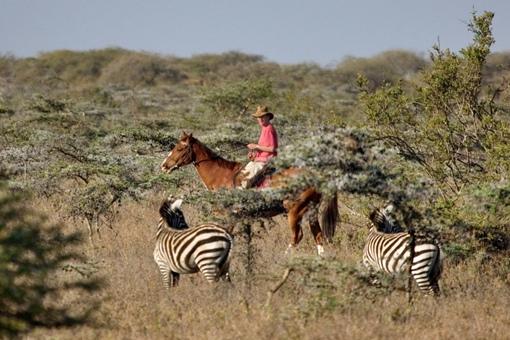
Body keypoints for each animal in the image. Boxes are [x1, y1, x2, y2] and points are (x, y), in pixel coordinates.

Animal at [159, 132, 338, 255]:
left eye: (179, 148)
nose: (164, 166)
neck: (221, 176)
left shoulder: (228, 215)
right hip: (310, 211)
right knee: (318, 236)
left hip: (295, 211)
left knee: (297, 236)